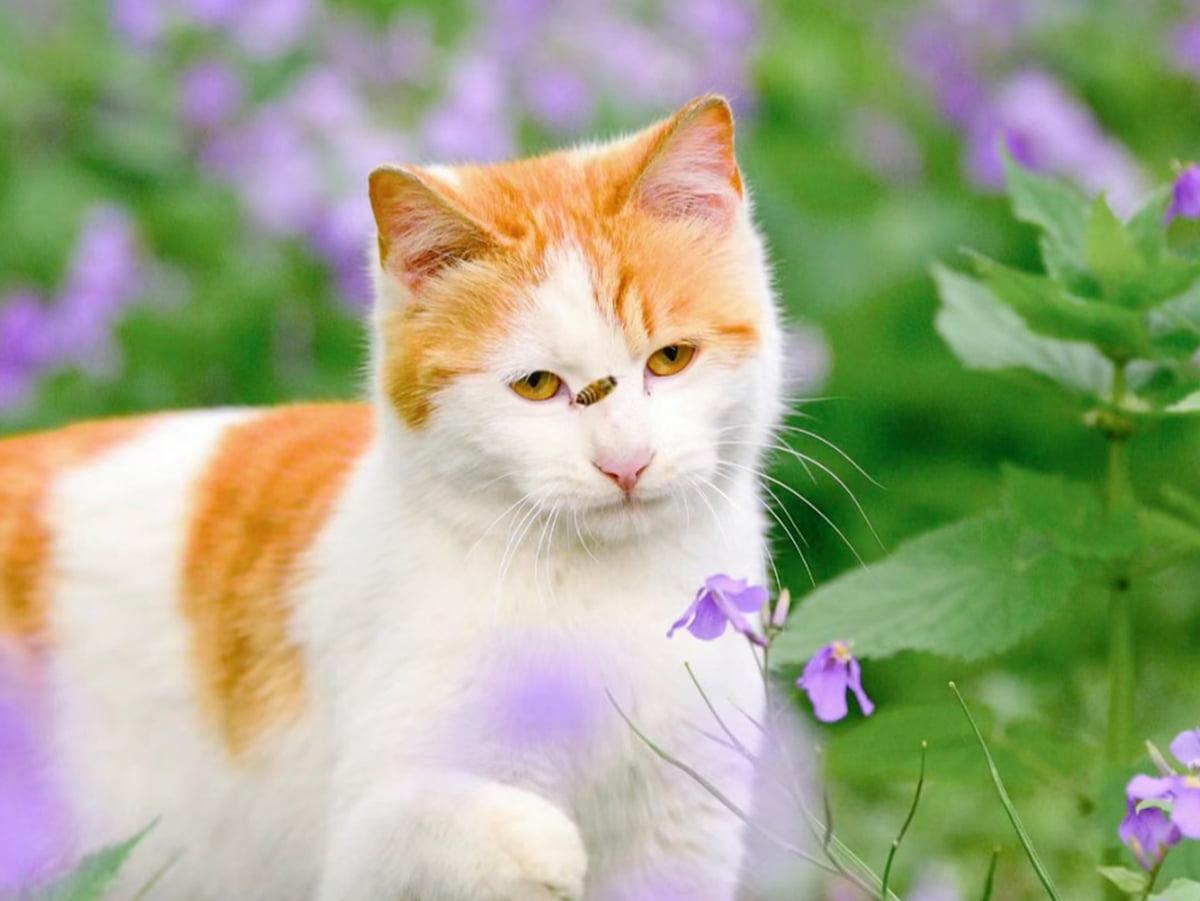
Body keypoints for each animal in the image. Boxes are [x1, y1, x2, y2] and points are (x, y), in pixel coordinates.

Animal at [0, 97, 782, 901]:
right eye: (537, 385)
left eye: (670, 358)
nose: (626, 462)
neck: (604, 591)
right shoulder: (364, 841)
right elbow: (447, 818)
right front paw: (546, 848)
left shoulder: (688, 827)